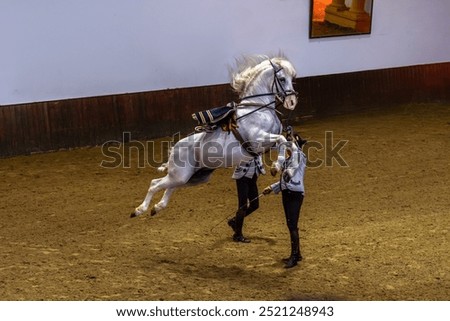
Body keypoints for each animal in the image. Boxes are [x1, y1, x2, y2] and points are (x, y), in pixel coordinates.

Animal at [130, 54, 298, 218]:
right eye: (282, 79)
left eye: (292, 79)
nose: (292, 102)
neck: (259, 109)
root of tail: (174, 148)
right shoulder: (258, 139)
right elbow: (283, 139)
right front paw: (276, 167)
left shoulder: (267, 144)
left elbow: (290, 145)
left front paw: (287, 170)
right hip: (180, 175)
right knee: (154, 184)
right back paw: (139, 210)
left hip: (192, 177)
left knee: (169, 187)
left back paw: (157, 207)